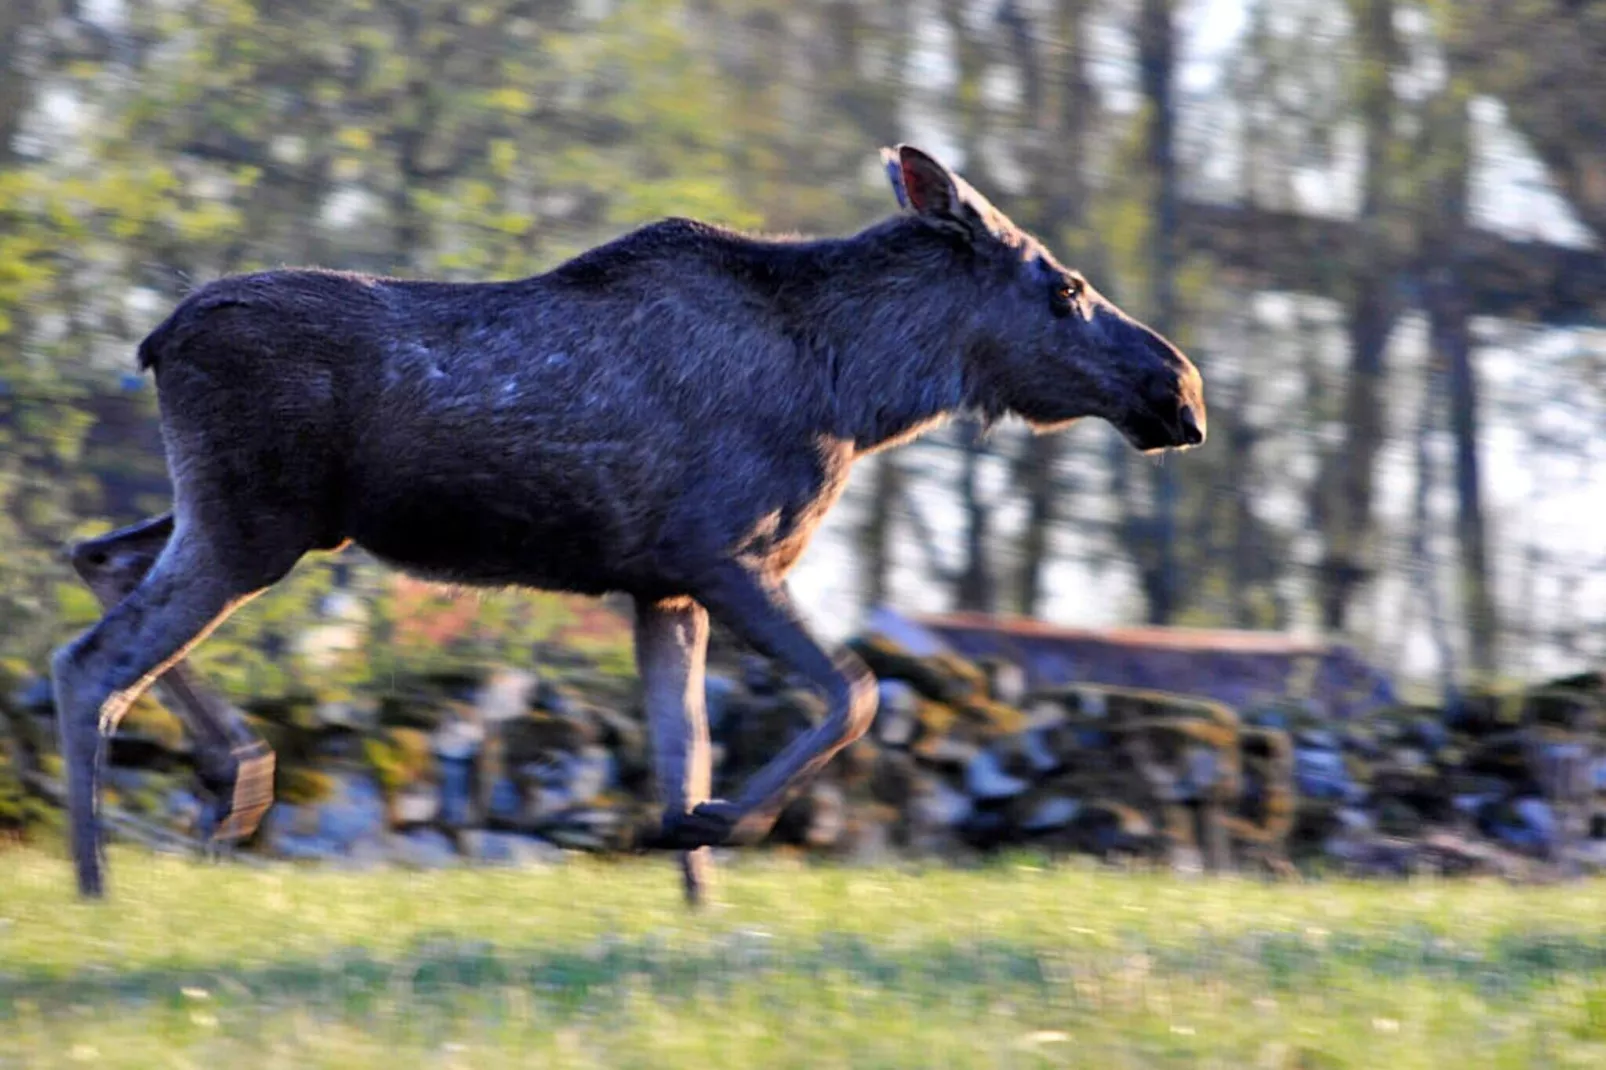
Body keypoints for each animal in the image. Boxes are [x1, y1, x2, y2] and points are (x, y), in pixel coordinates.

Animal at [50, 143, 1207, 899]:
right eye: (1065, 286)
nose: (1181, 388)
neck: (860, 394)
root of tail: (155, 339)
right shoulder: (719, 553)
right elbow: (856, 691)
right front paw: (724, 822)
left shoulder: (662, 587)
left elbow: (679, 749)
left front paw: (694, 891)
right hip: (254, 521)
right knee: (87, 660)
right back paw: (101, 878)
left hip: (259, 518)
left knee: (98, 553)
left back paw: (234, 778)